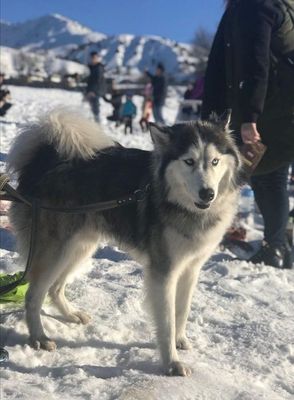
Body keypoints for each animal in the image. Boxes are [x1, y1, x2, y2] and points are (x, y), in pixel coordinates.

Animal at [7, 109, 241, 376]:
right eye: (189, 161)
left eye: (215, 161)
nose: (207, 193)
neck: (181, 204)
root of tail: (45, 160)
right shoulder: (164, 272)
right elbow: (167, 321)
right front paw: (171, 362)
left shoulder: (191, 267)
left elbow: (182, 311)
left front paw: (180, 341)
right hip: (56, 251)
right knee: (34, 295)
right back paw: (39, 337)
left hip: (79, 247)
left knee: (55, 288)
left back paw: (71, 315)